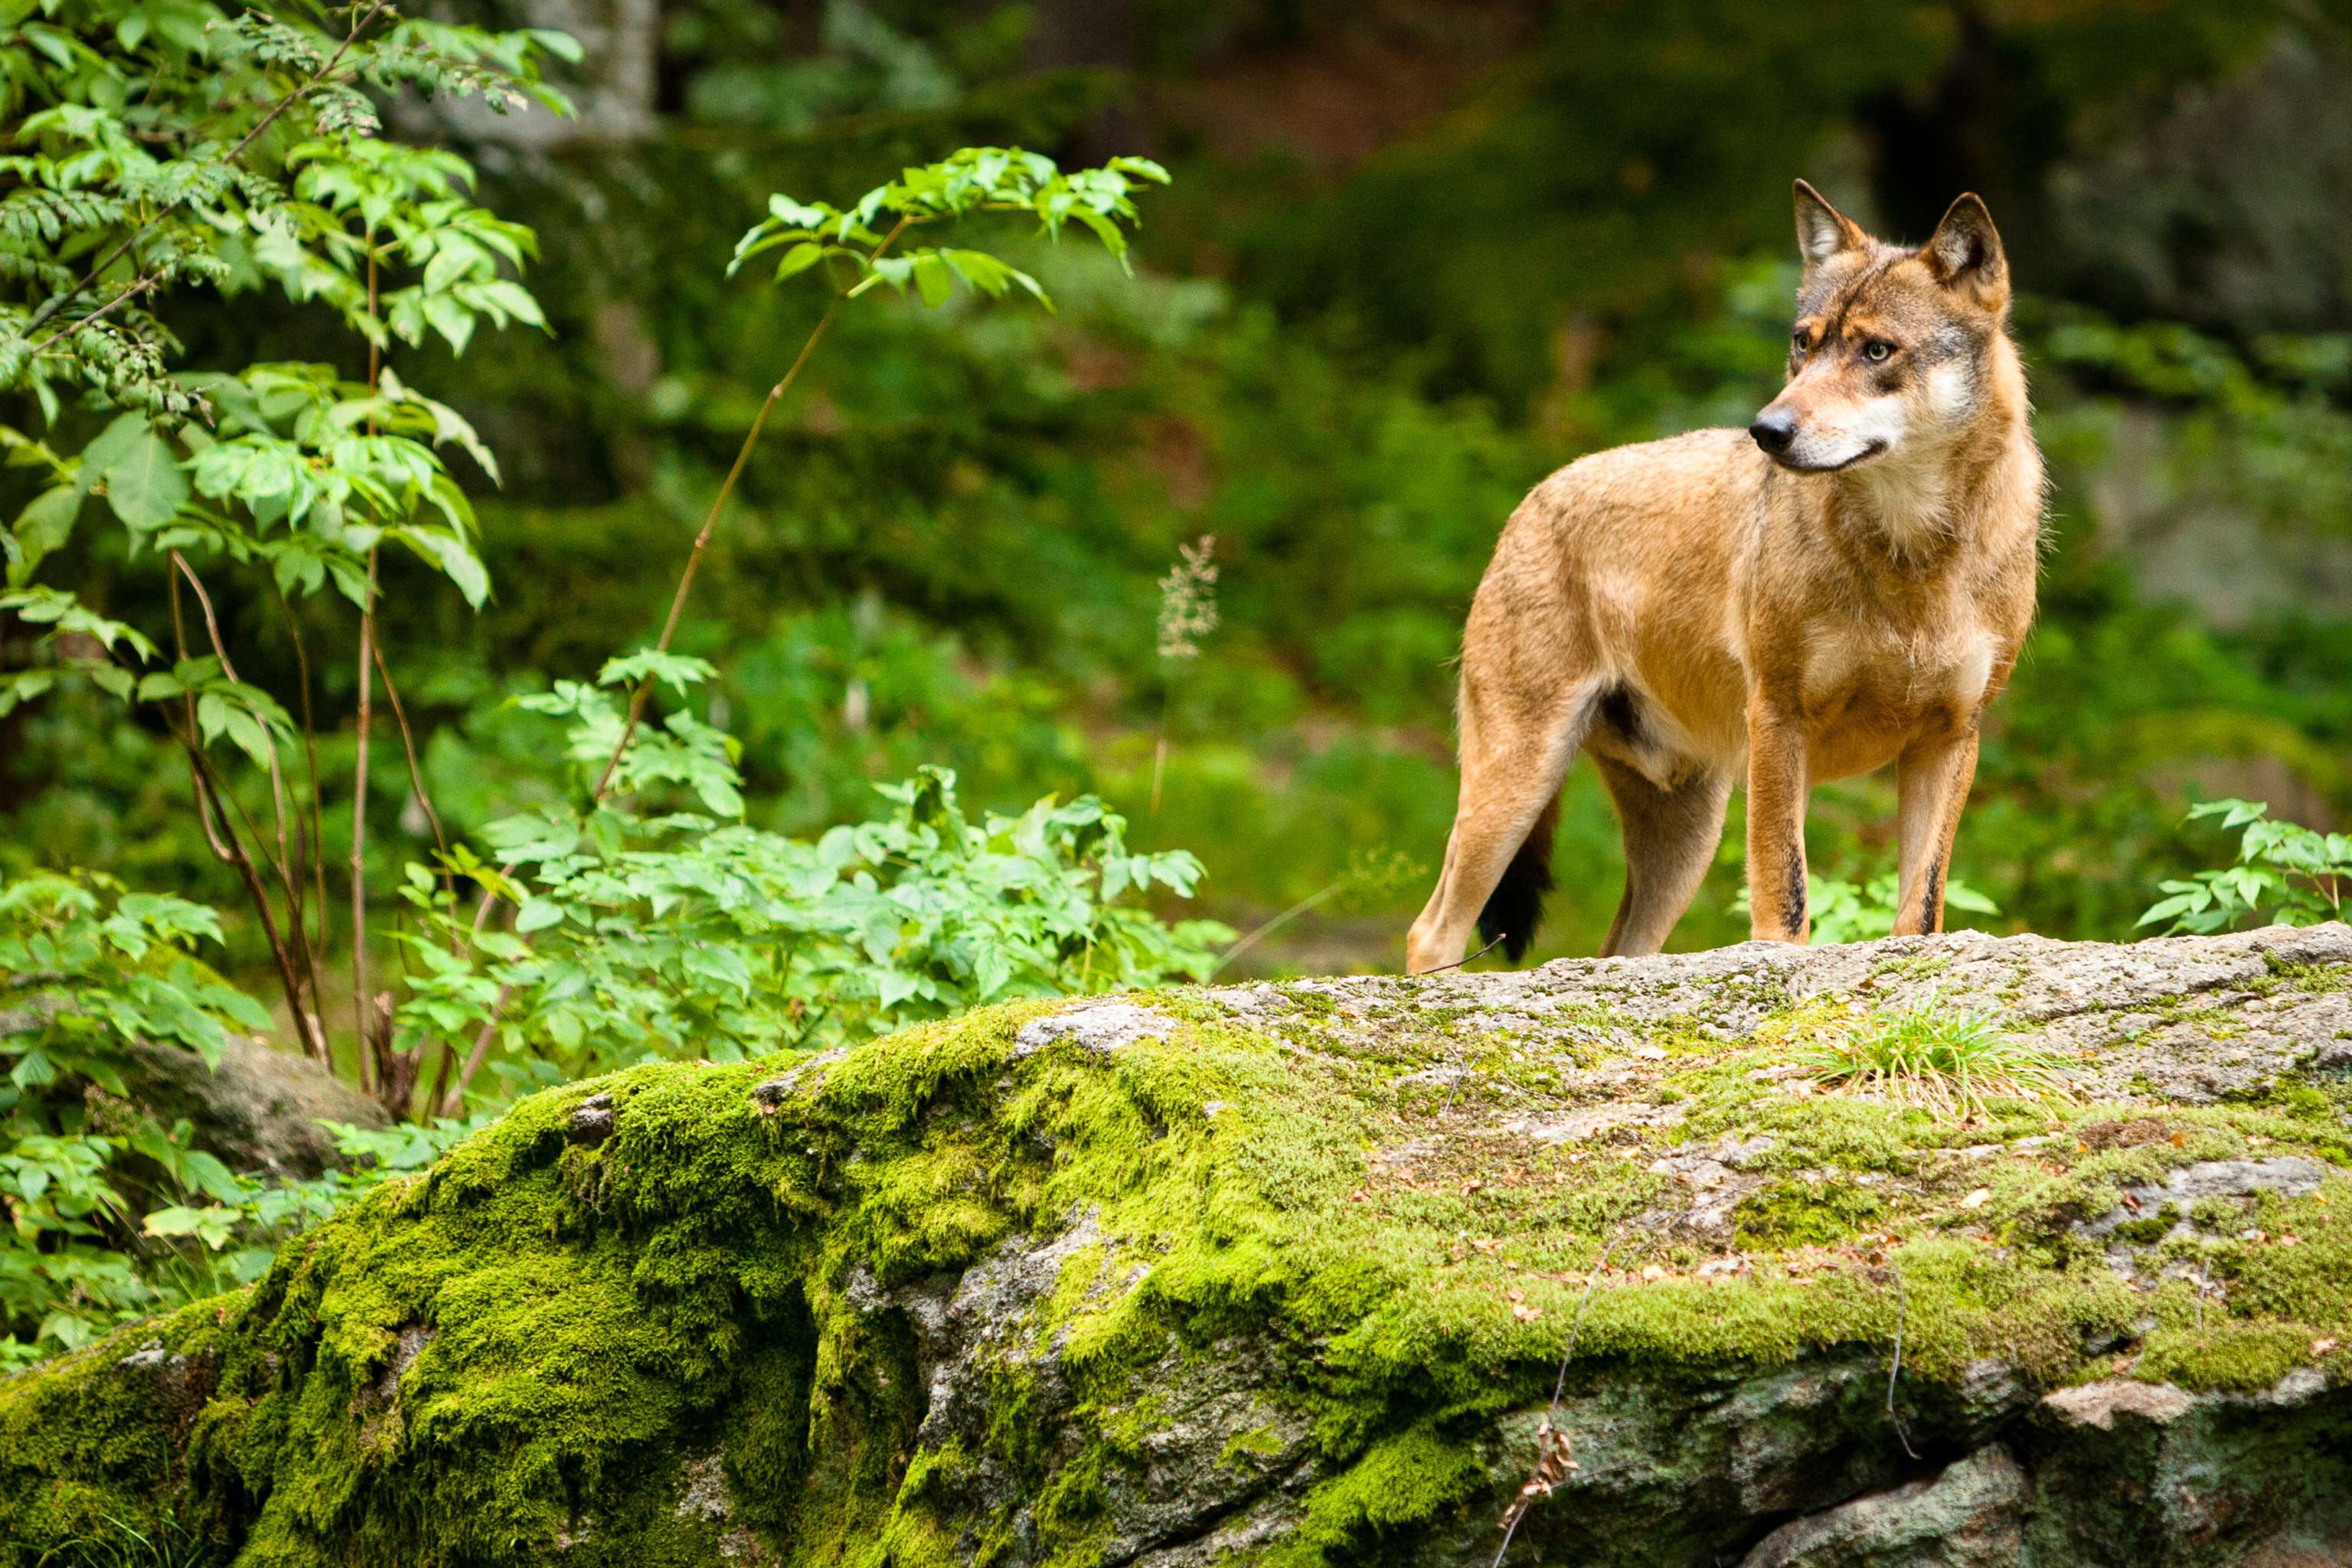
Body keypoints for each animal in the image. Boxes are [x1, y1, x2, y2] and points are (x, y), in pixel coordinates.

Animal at [1405, 181, 2042, 973]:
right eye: (1804, 343)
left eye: (1876, 351)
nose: (1767, 431)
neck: (1911, 557)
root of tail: (1531, 498)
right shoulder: (1778, 718)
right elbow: (1786, 898)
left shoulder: (1951, 737)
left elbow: (1919, 915)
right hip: (1519, 782)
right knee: (1433, 930)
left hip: (1684, 839)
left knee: (1620, 951)